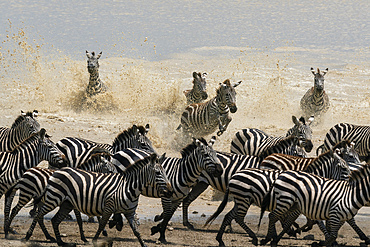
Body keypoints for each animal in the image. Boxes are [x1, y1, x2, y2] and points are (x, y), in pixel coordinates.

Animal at [25, 152, 173, 247]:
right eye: (158, 173)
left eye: (165, 172)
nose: (170, 191)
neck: (129, 188)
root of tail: (57, 171)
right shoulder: (108, 207)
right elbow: (101, 224)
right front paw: (94, 240)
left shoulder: (130, 212)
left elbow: (136, 231)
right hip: (53, 199)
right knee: (38, 214)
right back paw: (27, 237)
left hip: (66, 204)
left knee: (55, 220)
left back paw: (61, 242)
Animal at [205, 149, 352, 247]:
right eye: (344, 169)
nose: (350, 184)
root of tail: (234, 176)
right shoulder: (302, 205)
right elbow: (316, 223)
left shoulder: (300, 205)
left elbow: (290, 222)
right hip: (244, 199)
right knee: (239, 218)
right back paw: (254, 238)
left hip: (241, 200)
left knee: (229, 216)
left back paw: (220, 240)